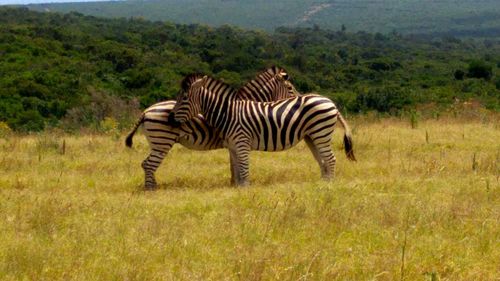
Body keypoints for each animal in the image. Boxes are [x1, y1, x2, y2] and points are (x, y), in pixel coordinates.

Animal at [125, 65, 298, 188]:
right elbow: (236, 165)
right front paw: (235, 184)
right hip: (162, 141)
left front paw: (233, 184)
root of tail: (145, 111)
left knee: (147, 164)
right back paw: (151, 189)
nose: (298, 98)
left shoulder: (233, 142)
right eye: (290, 88)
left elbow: (233, 165)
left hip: (156, 143)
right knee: (149, 164)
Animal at [170, 74, 358, 186]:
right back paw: (322, 184)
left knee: (330, 159)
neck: (228, 113)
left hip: (321, 132)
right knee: (323, 160)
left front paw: (245, 193)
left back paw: (329, 187)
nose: (170, 118)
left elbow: (244, 170)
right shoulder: (233, 146)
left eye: (184, 98)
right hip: (312, 136)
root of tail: (330, 102)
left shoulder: (242, 142)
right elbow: (237, 171)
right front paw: (237, 190)